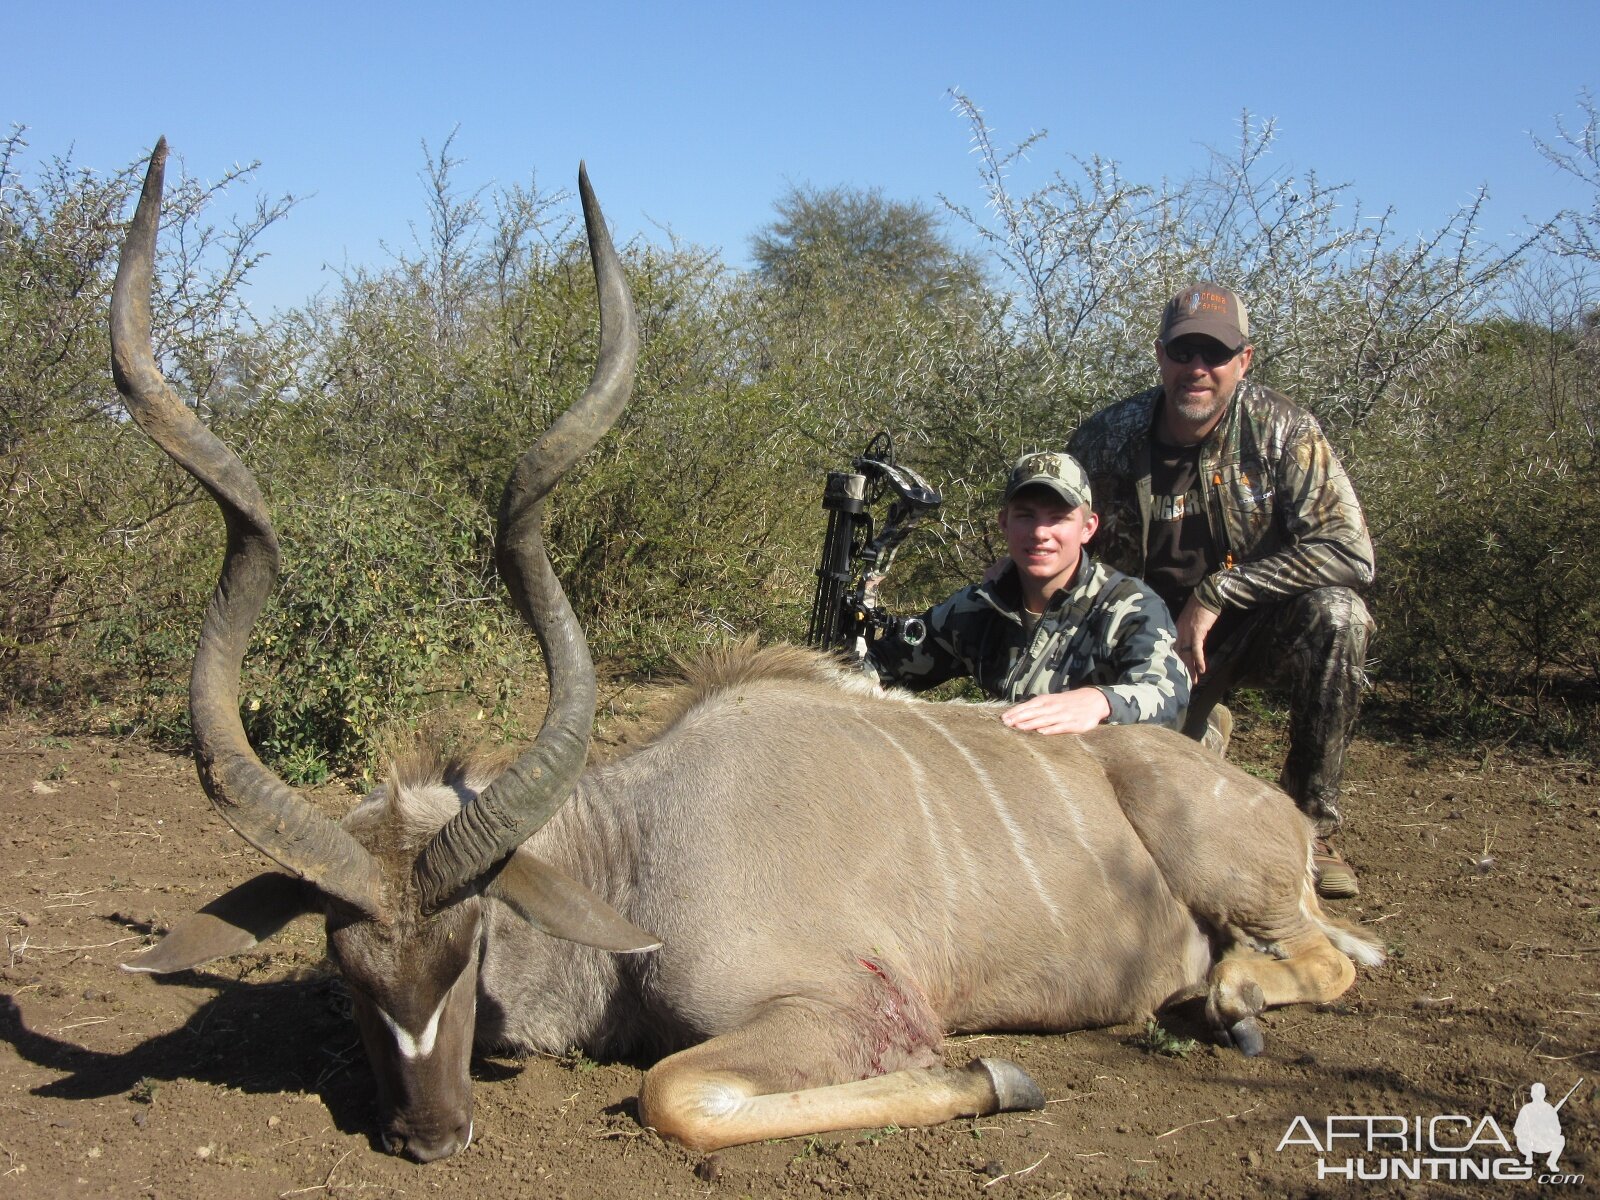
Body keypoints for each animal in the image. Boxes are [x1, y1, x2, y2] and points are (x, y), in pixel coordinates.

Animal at [118, 140, 1382, 1164]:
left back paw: (1224, 998)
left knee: (1315, 958)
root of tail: (1262, 808)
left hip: (1229, 868)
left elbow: (676, 1096)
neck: (634, 851)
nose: (428, 1136)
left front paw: (997, 1074)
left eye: (470, 943)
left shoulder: (840, 1009)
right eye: (344, 965)